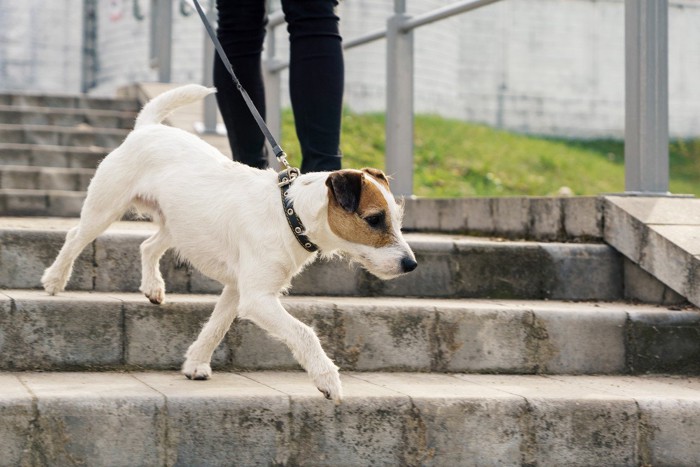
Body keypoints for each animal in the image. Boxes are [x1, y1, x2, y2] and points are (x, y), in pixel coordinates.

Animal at [39, 85, 416, 406]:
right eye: (374, 219)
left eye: (397, 217)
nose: (411, 265)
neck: (289, 213)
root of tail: (147, 129)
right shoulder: (257, 297)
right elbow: (304, 332)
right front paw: (327, 379)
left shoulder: (238, 289)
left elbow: (216, 326)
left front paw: (195, 363)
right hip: (105, 208)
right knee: (75, 237)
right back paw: (55, 280)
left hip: (178, 224)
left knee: (148, 245)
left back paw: (153, 286)